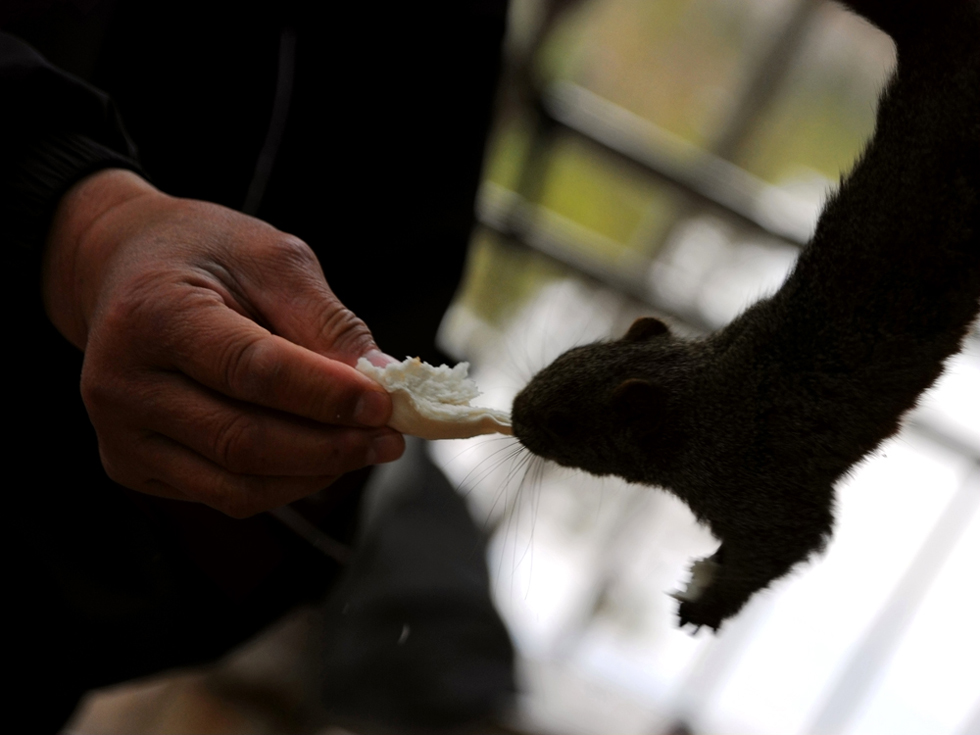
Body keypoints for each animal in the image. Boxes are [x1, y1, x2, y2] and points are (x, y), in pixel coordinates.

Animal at [512, 1, 980, 632]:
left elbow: (780, 546)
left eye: (564, 422)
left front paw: (707, 603)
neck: (708, 395)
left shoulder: (760, 489)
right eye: (563, 357)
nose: (515, 414)